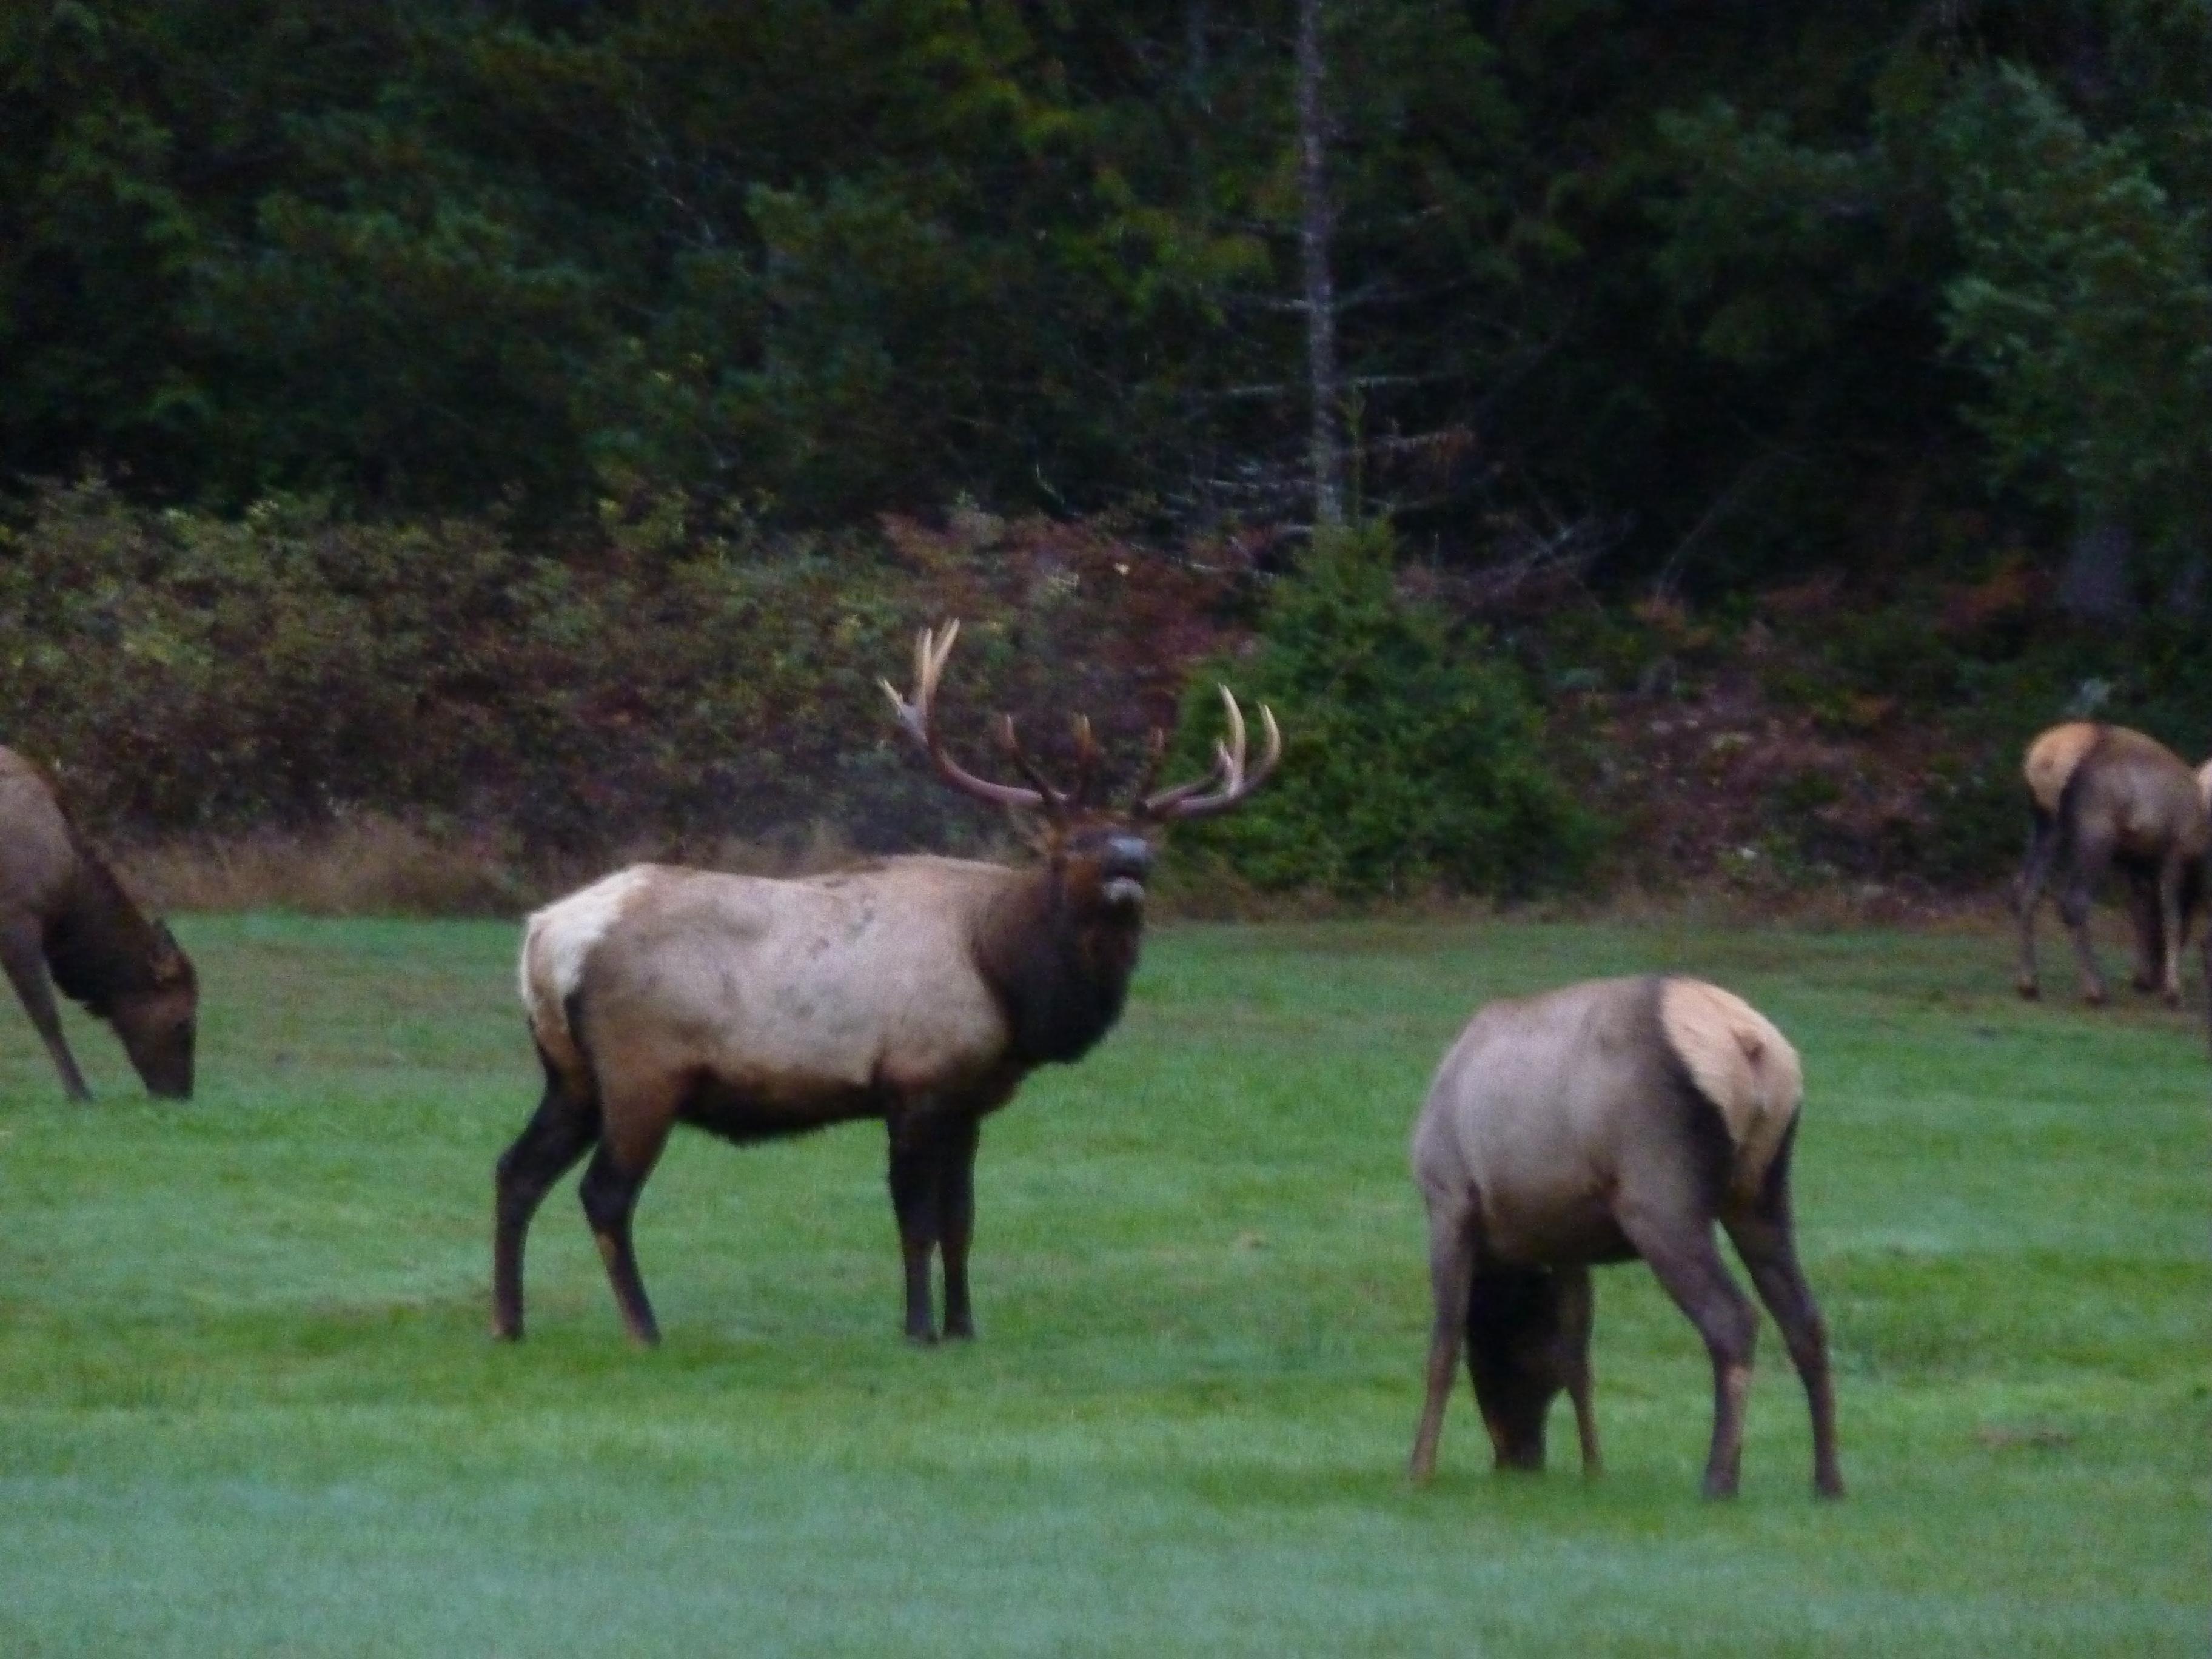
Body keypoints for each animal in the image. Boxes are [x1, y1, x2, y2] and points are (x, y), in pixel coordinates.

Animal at [493, 621, 1280, 1346]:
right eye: (1072, 844)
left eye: (1144, 842)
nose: (1129, 862)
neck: (1006, 979)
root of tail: (544, 936)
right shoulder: (915, 1081)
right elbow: (916, 1221)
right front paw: (919, 1330)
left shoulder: (970, 1101)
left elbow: (963, 1222)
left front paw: (964, 1328)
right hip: (643, 1069)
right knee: (605, 1193)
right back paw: (643, 1328)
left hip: (570, 1073)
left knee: (516, 1171)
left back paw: (509, 1323)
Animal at [1408, 976, 1842, 1500]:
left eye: (1499, 1355)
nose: (1521, 1459)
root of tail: (1748, 1045)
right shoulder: (1566, 1243)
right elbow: (1578, 1359)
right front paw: (1594, 1469)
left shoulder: (1448, 1200)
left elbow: (1443, 1344)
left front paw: (1419, 1469)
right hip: (1762, 1193)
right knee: (1805, 1320)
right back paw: (1827, 1480)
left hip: (1660, 1200)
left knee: (1733, 1318)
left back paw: (1719, 1479)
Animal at [2013, 722, 2209, 1009]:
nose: (2157, 976)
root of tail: (2046, 759)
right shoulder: (2175, 851)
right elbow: (2171, 917)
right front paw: (2172, 991)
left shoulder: (2136, 862)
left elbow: (2140, 914)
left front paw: (2143, 979)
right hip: (2096, 829)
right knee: (2074, 901)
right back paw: (2095, 991)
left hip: (2045, 824)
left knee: (2024, 892)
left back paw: (2029, 984)